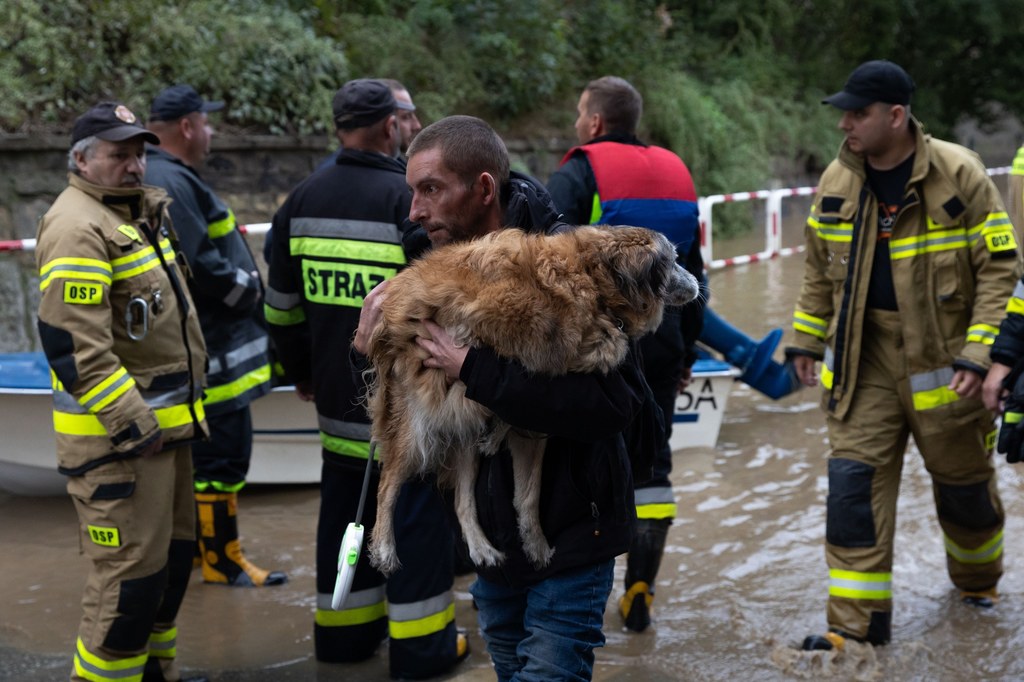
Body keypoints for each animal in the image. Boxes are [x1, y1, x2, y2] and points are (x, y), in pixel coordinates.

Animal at [364, 224, 700, 573]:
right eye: (673, 260)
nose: (697, 283)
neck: (594, 282)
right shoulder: (480, 314)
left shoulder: (536, 427)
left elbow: (528, 493)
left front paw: (534, 542)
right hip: (415, 428)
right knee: (387, 483)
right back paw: (384, 548)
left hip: (460, 435)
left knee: (462, 498)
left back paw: (481, 546)